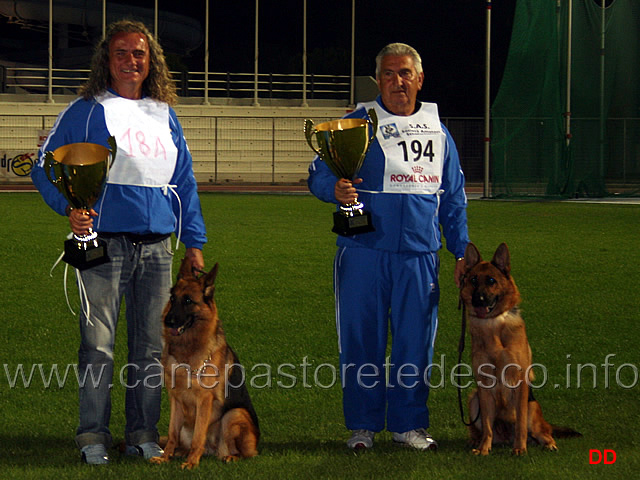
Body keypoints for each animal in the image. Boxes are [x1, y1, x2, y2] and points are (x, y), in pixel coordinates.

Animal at [151, 260, 260, 466]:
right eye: (172, 298)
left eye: (188, 301)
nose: (168, 321)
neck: (187, 352)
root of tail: (212, 450)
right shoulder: (175, 399)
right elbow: (171, 434)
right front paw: (165, 457)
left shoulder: (204, 400)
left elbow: (198, 436)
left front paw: (192, 462)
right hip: (186, 425)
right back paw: (180, 453)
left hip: (234, 415)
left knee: (244, 453)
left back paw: (229, 456)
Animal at [460, 242, 580, 456]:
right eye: (473, 280)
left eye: (491, 280)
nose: (478, 300)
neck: (493, 326)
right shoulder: (483, 386)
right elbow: (488, 426)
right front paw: (483, 448)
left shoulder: (520, 383)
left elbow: (521, 424)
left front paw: (519, 448)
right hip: (474, 399)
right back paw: (477, 441)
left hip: (532, 410)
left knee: (542, 432)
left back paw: (547, 443)